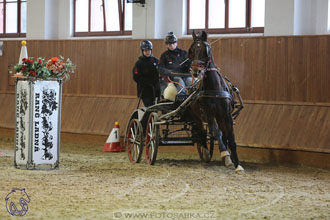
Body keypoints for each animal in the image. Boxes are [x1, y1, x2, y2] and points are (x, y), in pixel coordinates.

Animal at [187, 31, 244, 174]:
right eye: (191, 51)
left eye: (205, 50)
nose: (196, 71)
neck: (215, 88)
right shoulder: (208, 115)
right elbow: (216, 133)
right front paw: (225, 155)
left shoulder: (226, 115)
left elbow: (231, 138)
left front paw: (237, 164)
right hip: (197, 117)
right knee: (201, 133)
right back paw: (206, 152)